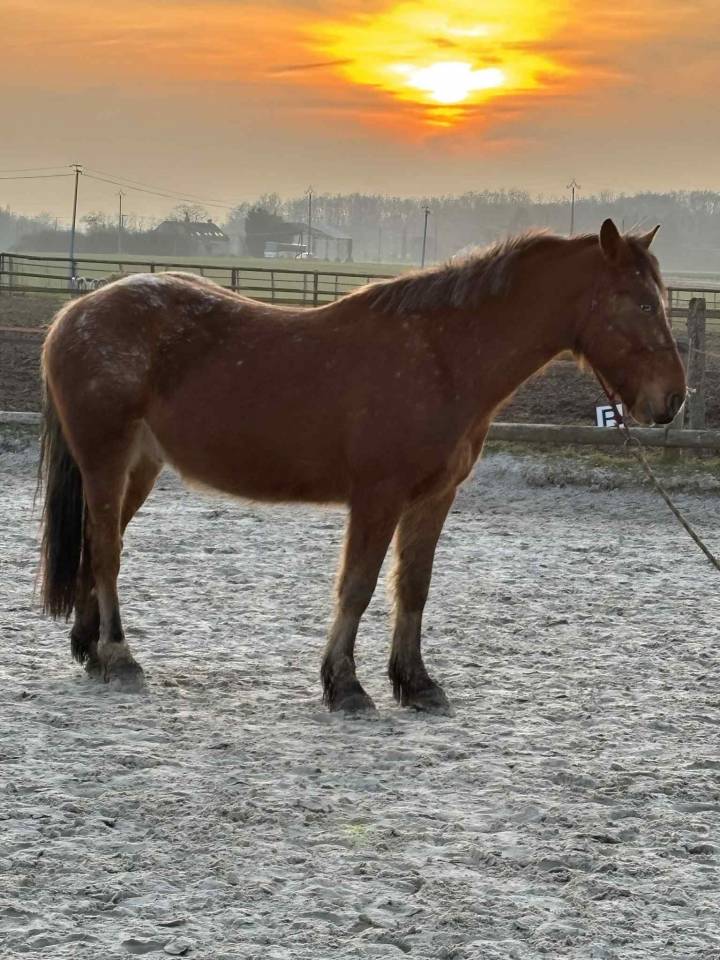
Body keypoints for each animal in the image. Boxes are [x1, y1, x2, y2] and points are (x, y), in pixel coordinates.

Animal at [38, 219, 686, 713]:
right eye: (641, 303)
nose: (673, 399)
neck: (443, 357)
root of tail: (75, 312)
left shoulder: (433, 498)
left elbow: (414, 586)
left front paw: (415, 683)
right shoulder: (378, 497)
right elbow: (358, 585)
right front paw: (345, 685)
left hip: (139, 468)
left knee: (99, 544)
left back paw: (91, 649)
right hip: (106, 460)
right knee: (107, 552)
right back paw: (119, 656)